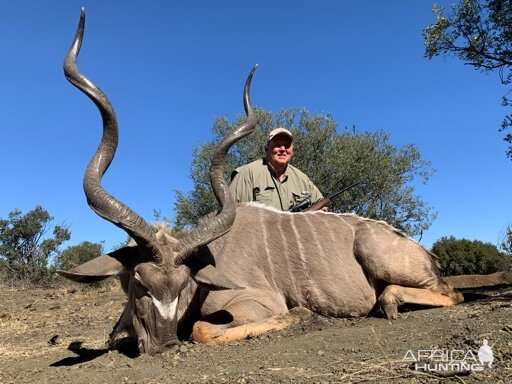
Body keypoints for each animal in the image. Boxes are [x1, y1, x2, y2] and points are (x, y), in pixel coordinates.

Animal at [58, 9, 510, 356]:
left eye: (185, 284)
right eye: (139, 282)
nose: (165, 345)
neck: (213, 255)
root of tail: (424, 251)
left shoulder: (255, 300)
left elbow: (205, 328)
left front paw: (302, 315)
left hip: (383, 257)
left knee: (450, 293)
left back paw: (391, 302)